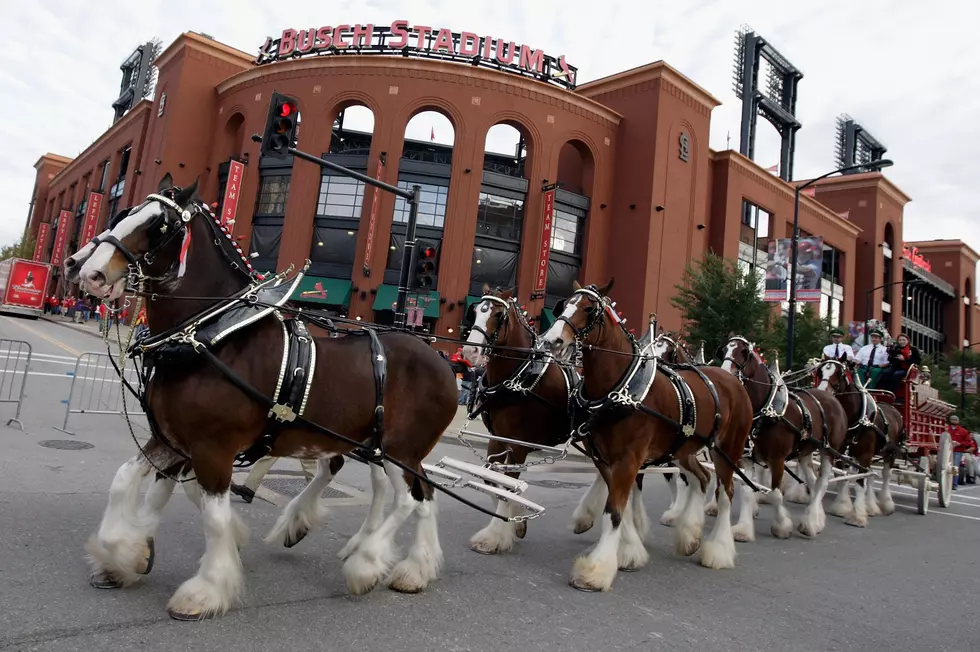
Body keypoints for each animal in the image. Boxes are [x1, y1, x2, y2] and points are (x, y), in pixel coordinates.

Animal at [65, 176, 460, 620]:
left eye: (159, 225)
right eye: (122, 213)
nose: (91, 272)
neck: (208, 336)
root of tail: (444, 362)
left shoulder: (212, 447)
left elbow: (213, 516)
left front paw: (206, 589)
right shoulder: (171, 439)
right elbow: (127, 482)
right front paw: (125, 554)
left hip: (398, 449)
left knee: (407, 499)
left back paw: (367, 563)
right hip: (376, 445)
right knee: (417, 494)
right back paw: (411, 567)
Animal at [458, 288, 588, 552]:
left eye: (498, 315)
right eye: (475, 311)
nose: (470, 352)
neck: (519, 375)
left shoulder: (519, 444)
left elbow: (508, 484)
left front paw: (494, 537)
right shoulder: (497, 438)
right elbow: (492, 480)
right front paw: (516, 522)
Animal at [540, 280, 756, 592]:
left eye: (589, 309)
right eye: (563, 305)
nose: (551, 340)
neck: (621, 387)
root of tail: (733, 381)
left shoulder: (629, 459)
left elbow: (614, 510)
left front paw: (596, 570)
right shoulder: (605, 459)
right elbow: (622, 507)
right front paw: (629, 551)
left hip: (727, 449)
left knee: (725, 493)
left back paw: (718, 550)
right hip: (685, 448)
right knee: (702, 478)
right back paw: (689, 536)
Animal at [720, 338, 848, 536]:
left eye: (743, 352)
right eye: (724, 350)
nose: (726, 374)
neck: (766, 409)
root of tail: (830, 397)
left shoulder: (777, 459)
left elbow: (775, 493)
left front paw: (782, 525)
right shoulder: (747, 458)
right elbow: (747, 492)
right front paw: (743, 529)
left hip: (828, 450)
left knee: (823, 483)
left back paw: (811, 522)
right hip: (805, 451)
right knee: (812, 481)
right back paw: (817, 518)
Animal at [812, 356, 904, 524]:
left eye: (840, 373)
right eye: (820, 372)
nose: (821, 392)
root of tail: (893, 408)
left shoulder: (865, 455)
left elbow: (860, 482)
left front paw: (858, 516)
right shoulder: (840, 452)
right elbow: (843, 477)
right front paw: (842, 506)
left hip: (890, 453)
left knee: (885, 475)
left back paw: (886, 504)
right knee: (871, 475)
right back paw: (872, 506)